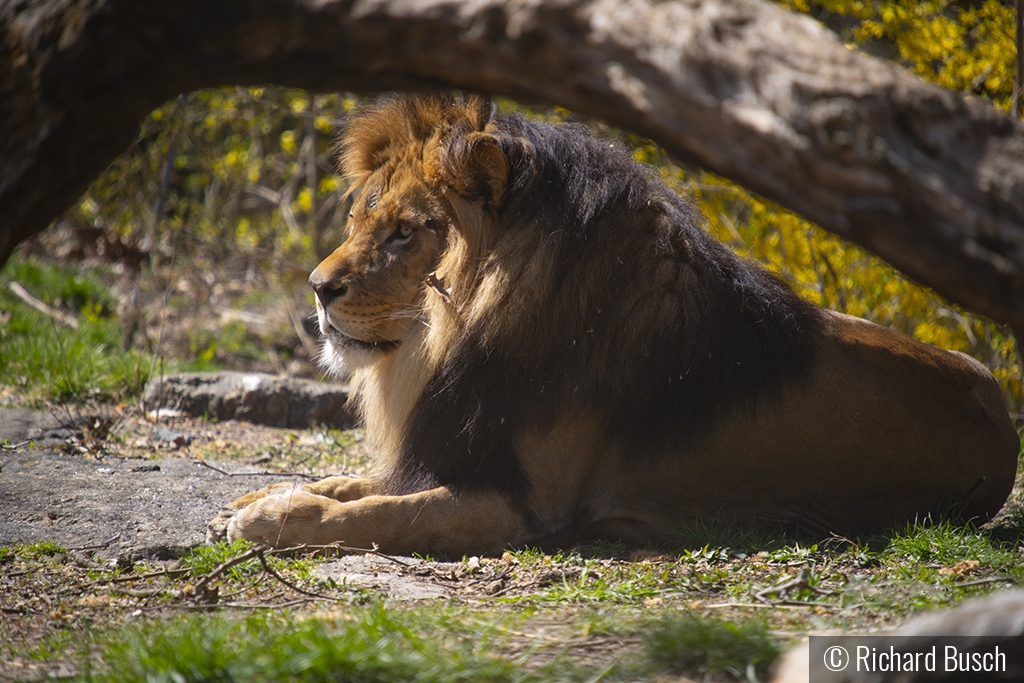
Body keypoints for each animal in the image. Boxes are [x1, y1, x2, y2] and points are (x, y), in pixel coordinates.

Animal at [205, 94, 1015, 557]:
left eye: (406, 231)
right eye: (359, 218)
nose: (317, 289)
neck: (445, 338)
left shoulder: (521, 508)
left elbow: (370, 514)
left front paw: (269, 518)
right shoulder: (448, 453)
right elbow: (354, 483)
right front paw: (254, 498)